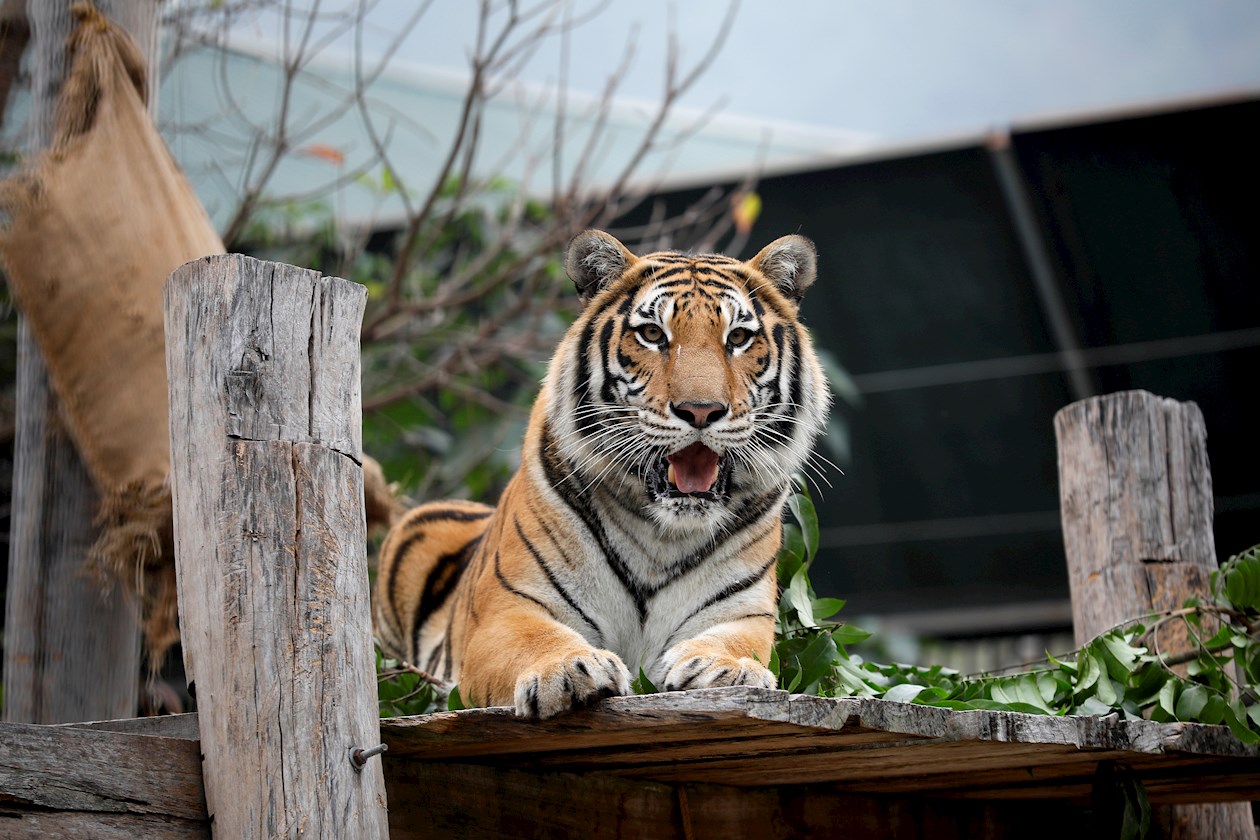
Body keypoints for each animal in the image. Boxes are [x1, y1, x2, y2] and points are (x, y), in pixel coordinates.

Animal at [374, 230, 831, 718]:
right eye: (652, 334)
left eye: (739, 337)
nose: (701, 411)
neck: (662, 536)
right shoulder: (507, 608)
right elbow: (532, 639)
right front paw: (568, 670)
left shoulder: (742, 611)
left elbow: (739, 644)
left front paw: (726, 669)